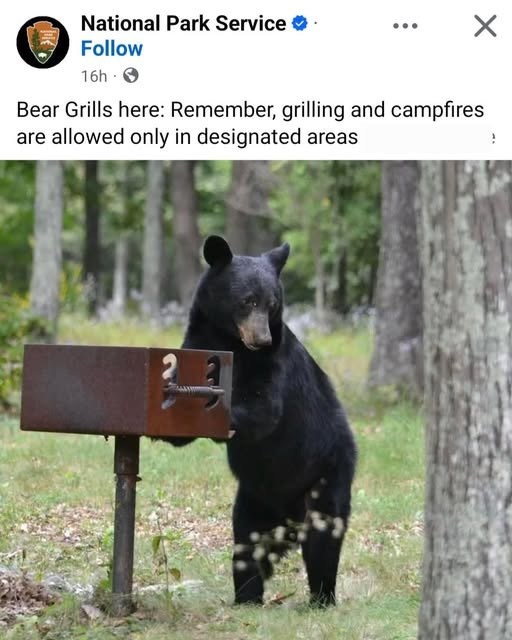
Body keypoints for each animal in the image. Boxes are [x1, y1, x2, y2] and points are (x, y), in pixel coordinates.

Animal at [164, 235, 356, 607]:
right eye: (248, 300)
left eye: (272, 303)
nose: (262, 338)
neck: (230, 341)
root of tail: (288, 519)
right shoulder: (198, 343)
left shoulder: (273, 365)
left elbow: (264, 409)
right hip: (253, 498)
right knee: (247, 543)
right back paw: (247, 595)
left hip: (327, 473)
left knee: (324, 539)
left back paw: (321, 598)